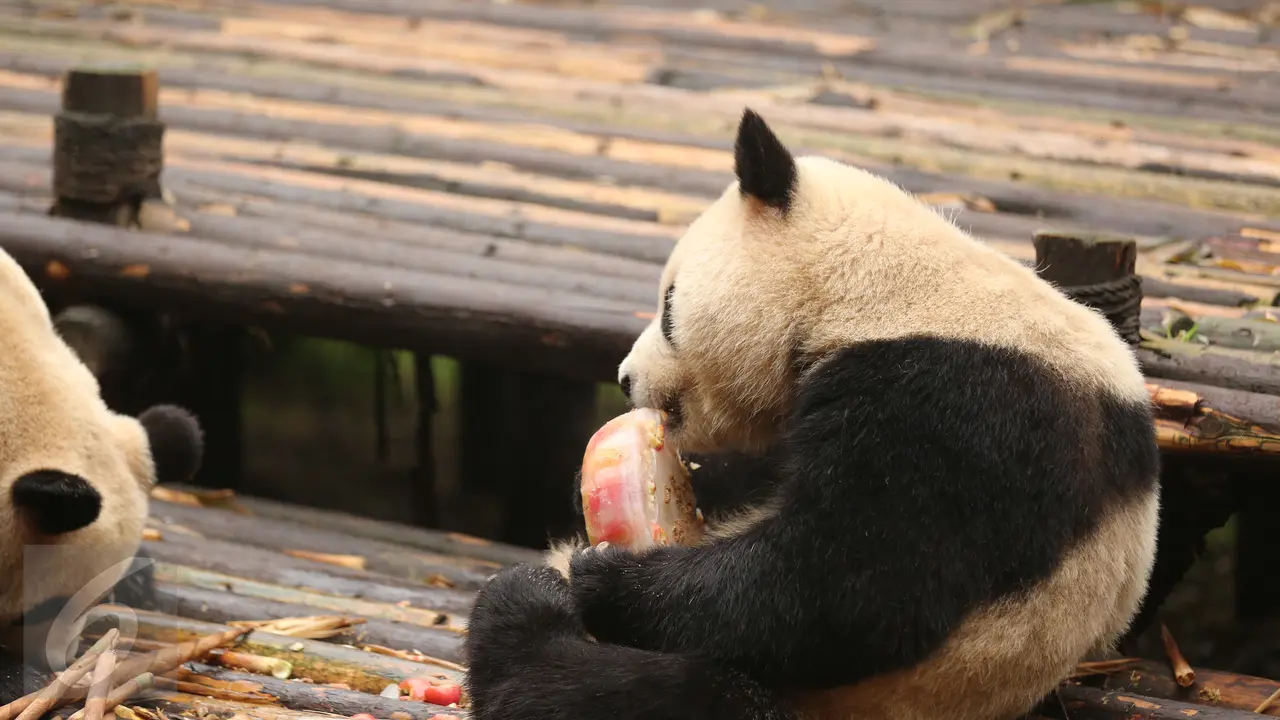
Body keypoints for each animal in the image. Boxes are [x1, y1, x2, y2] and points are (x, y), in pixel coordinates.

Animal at [461, 109, 1161, 720]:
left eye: (668, 305)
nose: (626, 379)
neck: (876, 289)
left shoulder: (963, 408)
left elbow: (844, 586)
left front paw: (607, 576)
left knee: (621, 690)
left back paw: (527, 608)